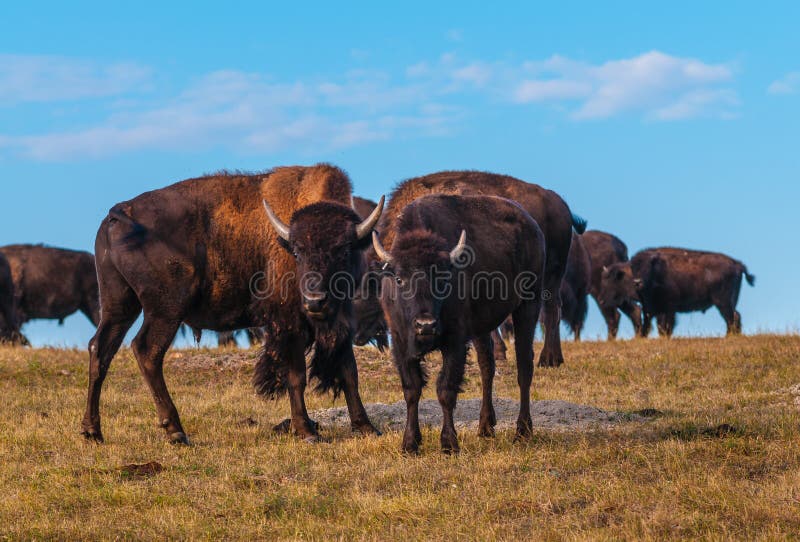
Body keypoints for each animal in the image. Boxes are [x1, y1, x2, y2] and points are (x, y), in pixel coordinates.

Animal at [82, 166, 384, 446]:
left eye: (344, 250)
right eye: (297, 252)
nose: (315, 300)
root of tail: (119, 213)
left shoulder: (340, 324)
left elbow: (349, 373)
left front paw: (367, 428)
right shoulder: (289, 324)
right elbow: (296, 375)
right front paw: (307, 431)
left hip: (119, 304)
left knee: (101, 349)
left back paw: (92, 431)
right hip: (165, 310)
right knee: (146, 351)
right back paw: (176, 431)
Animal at [372, 196, 548, 454]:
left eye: (442, 278)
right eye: (399, 279)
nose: (426, 325)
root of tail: (533, 227)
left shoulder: (455, 342)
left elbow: (446, 389)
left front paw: (449, 444)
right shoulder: (401, 341)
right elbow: (412, 389)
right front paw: (410, 444)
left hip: (528, 305)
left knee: (524, 366)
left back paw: (522, 431)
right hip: (483, 328)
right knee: (487, 367)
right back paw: (485, 428)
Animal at [600, 249, 756, 338]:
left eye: (647, 268)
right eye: (633, 267)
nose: (638, 282)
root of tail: (737, 264)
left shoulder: (669, 308)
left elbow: (666, 325)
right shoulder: (649, 309)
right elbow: (650, 324)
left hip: (722, 302)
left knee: (731, 318)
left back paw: (728, 336)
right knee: (735, 316)